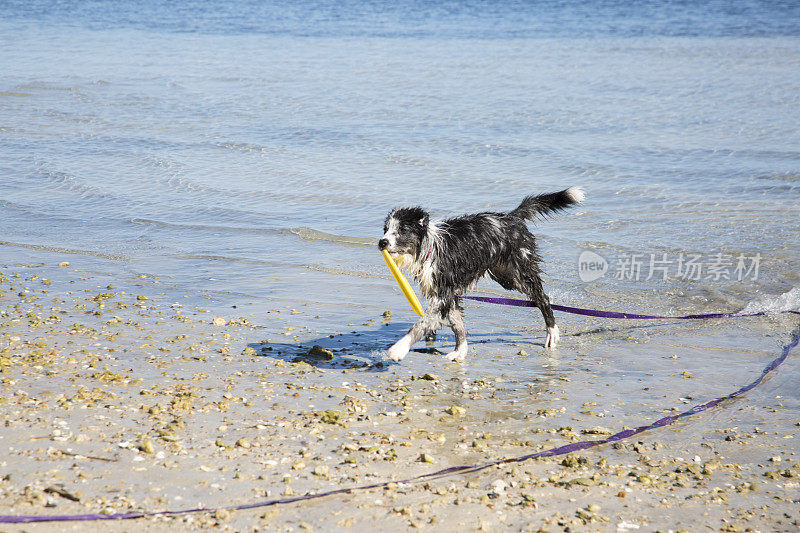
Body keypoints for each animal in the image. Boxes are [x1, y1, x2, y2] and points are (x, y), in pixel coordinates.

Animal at [378, 186, 584, 362]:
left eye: (403, 229)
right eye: (386, 229)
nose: (382, 242)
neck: (429, 248)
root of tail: (512, 218)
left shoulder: (443, 294)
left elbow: (421, 323)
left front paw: (399, 349)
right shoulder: (449, 295)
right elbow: (457, 325)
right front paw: (460, 351)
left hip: (519, 273)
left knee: (543, 298)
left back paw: (552, 332)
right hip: (505, 276)